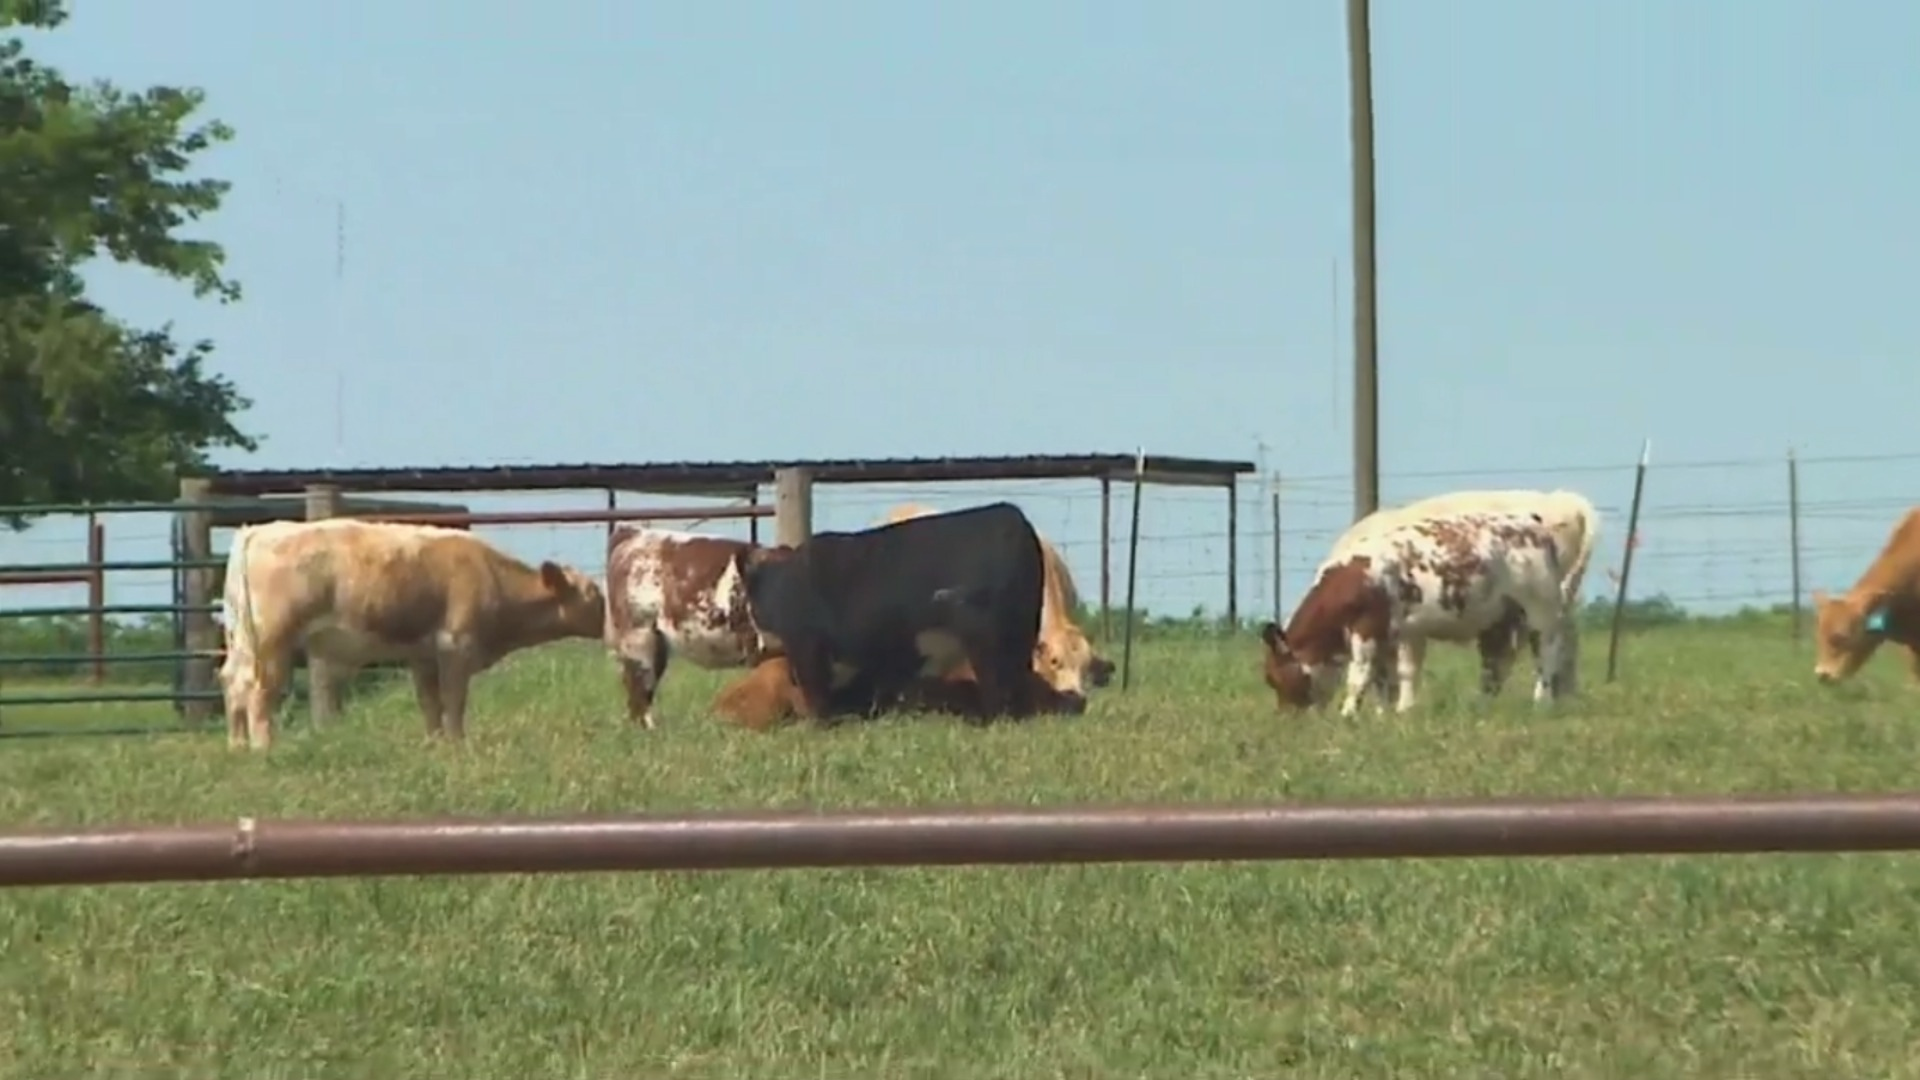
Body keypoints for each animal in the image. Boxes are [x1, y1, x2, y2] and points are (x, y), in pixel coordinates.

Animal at [218, 518, 606, 751]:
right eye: (593, 594)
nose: (611, 621)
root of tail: (259, 531)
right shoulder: (456, 646)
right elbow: (453, 701)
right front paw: (457, 746)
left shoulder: (423, 656)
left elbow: (430, 703)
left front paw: (434, 745)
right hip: (271, 644)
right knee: (257, 691)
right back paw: (263, 747)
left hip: (244, 643)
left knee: (233, 683)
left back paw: (237, 747)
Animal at [733, 501, 1049, 724]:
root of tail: (1012, 518)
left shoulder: (806, 643)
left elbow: (815, 691)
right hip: (1019, 634)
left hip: (986, 639)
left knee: (997, 685)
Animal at [1259, 509, 1572, 717]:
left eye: (1273, 678)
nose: (1285, 718)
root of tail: (1531, 522)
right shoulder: (1391, 637)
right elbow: (1386, 680)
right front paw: (1387, 715)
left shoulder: (1367, 630)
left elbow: (1359, 676)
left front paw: (1348, 715)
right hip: (1499, 619)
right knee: (1496, 664)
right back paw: (1482, 707)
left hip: (1540, 610)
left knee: (1547, 655)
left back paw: (1542, 702)